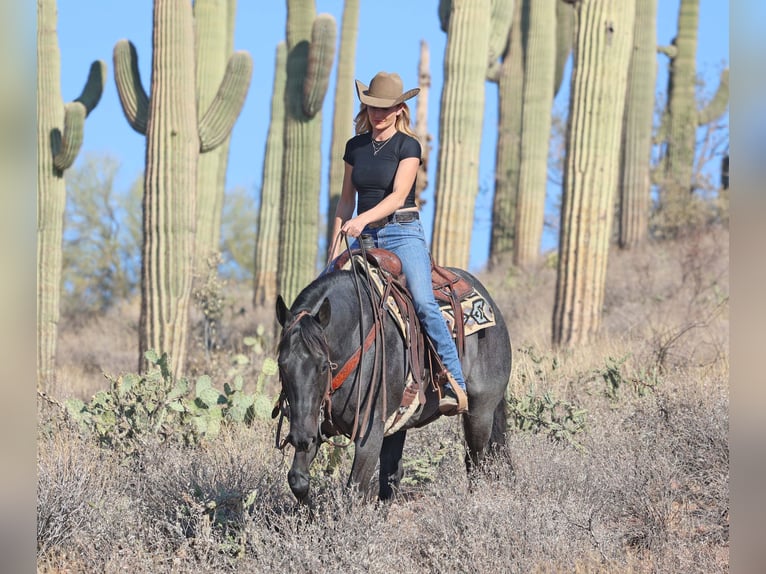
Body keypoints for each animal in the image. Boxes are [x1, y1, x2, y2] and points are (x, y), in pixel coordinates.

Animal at [272, 258, 512, 506]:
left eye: (322, 366)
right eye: (282, 365)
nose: (300, 438)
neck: (356, 339)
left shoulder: (369, 434)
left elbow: (354, 492)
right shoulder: (317, 425)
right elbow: (297, 479)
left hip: (480, 413)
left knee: (476, 462)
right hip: (398, 426)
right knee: (392, 475)